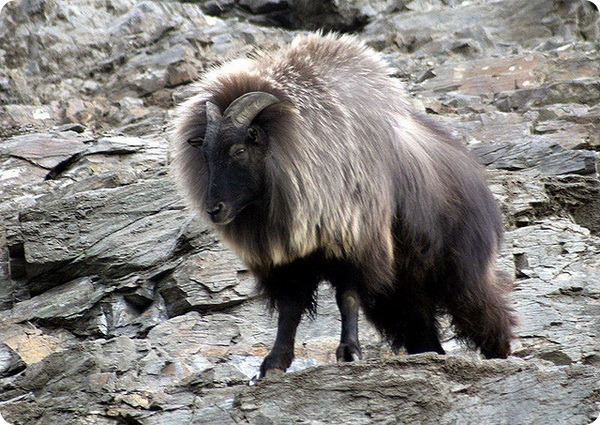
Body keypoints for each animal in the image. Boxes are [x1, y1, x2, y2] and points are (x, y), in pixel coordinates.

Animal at [172, 33, 516, 378]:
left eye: (239, 150)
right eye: (205, 154)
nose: (214, 209)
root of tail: (474, 174)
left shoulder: (355, 245)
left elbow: (346, 299)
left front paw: (350, 351)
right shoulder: (292, 263)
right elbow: (290, 311)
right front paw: (274, 362)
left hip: (460, 271)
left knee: (487, 310)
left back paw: (499, 354)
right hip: (402, 289)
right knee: (421, 327)